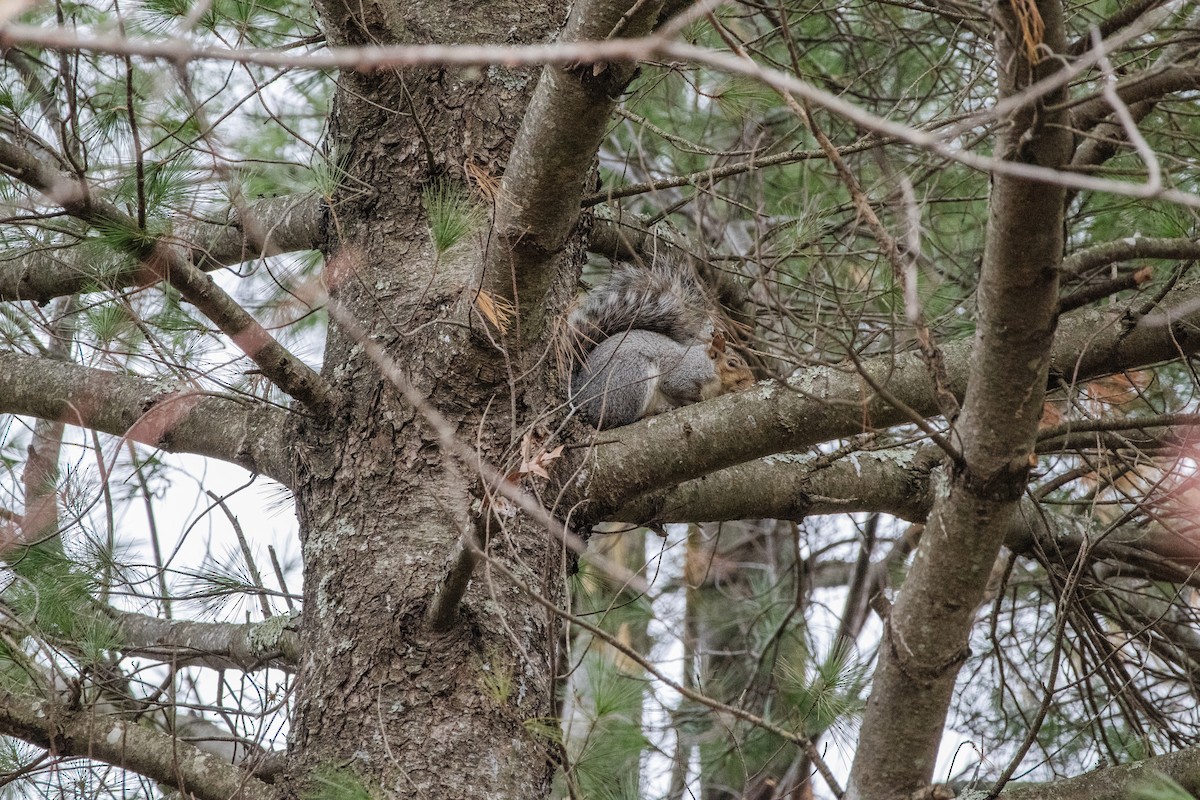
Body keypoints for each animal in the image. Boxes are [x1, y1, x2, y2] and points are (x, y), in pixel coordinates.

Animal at [565, 261, 754, 429]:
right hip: (631, 377)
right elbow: (676, 387)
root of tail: (579, 396)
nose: (751, 382)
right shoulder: (685, 373)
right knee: (617, 420)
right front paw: (694, 400)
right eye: (732, 363)